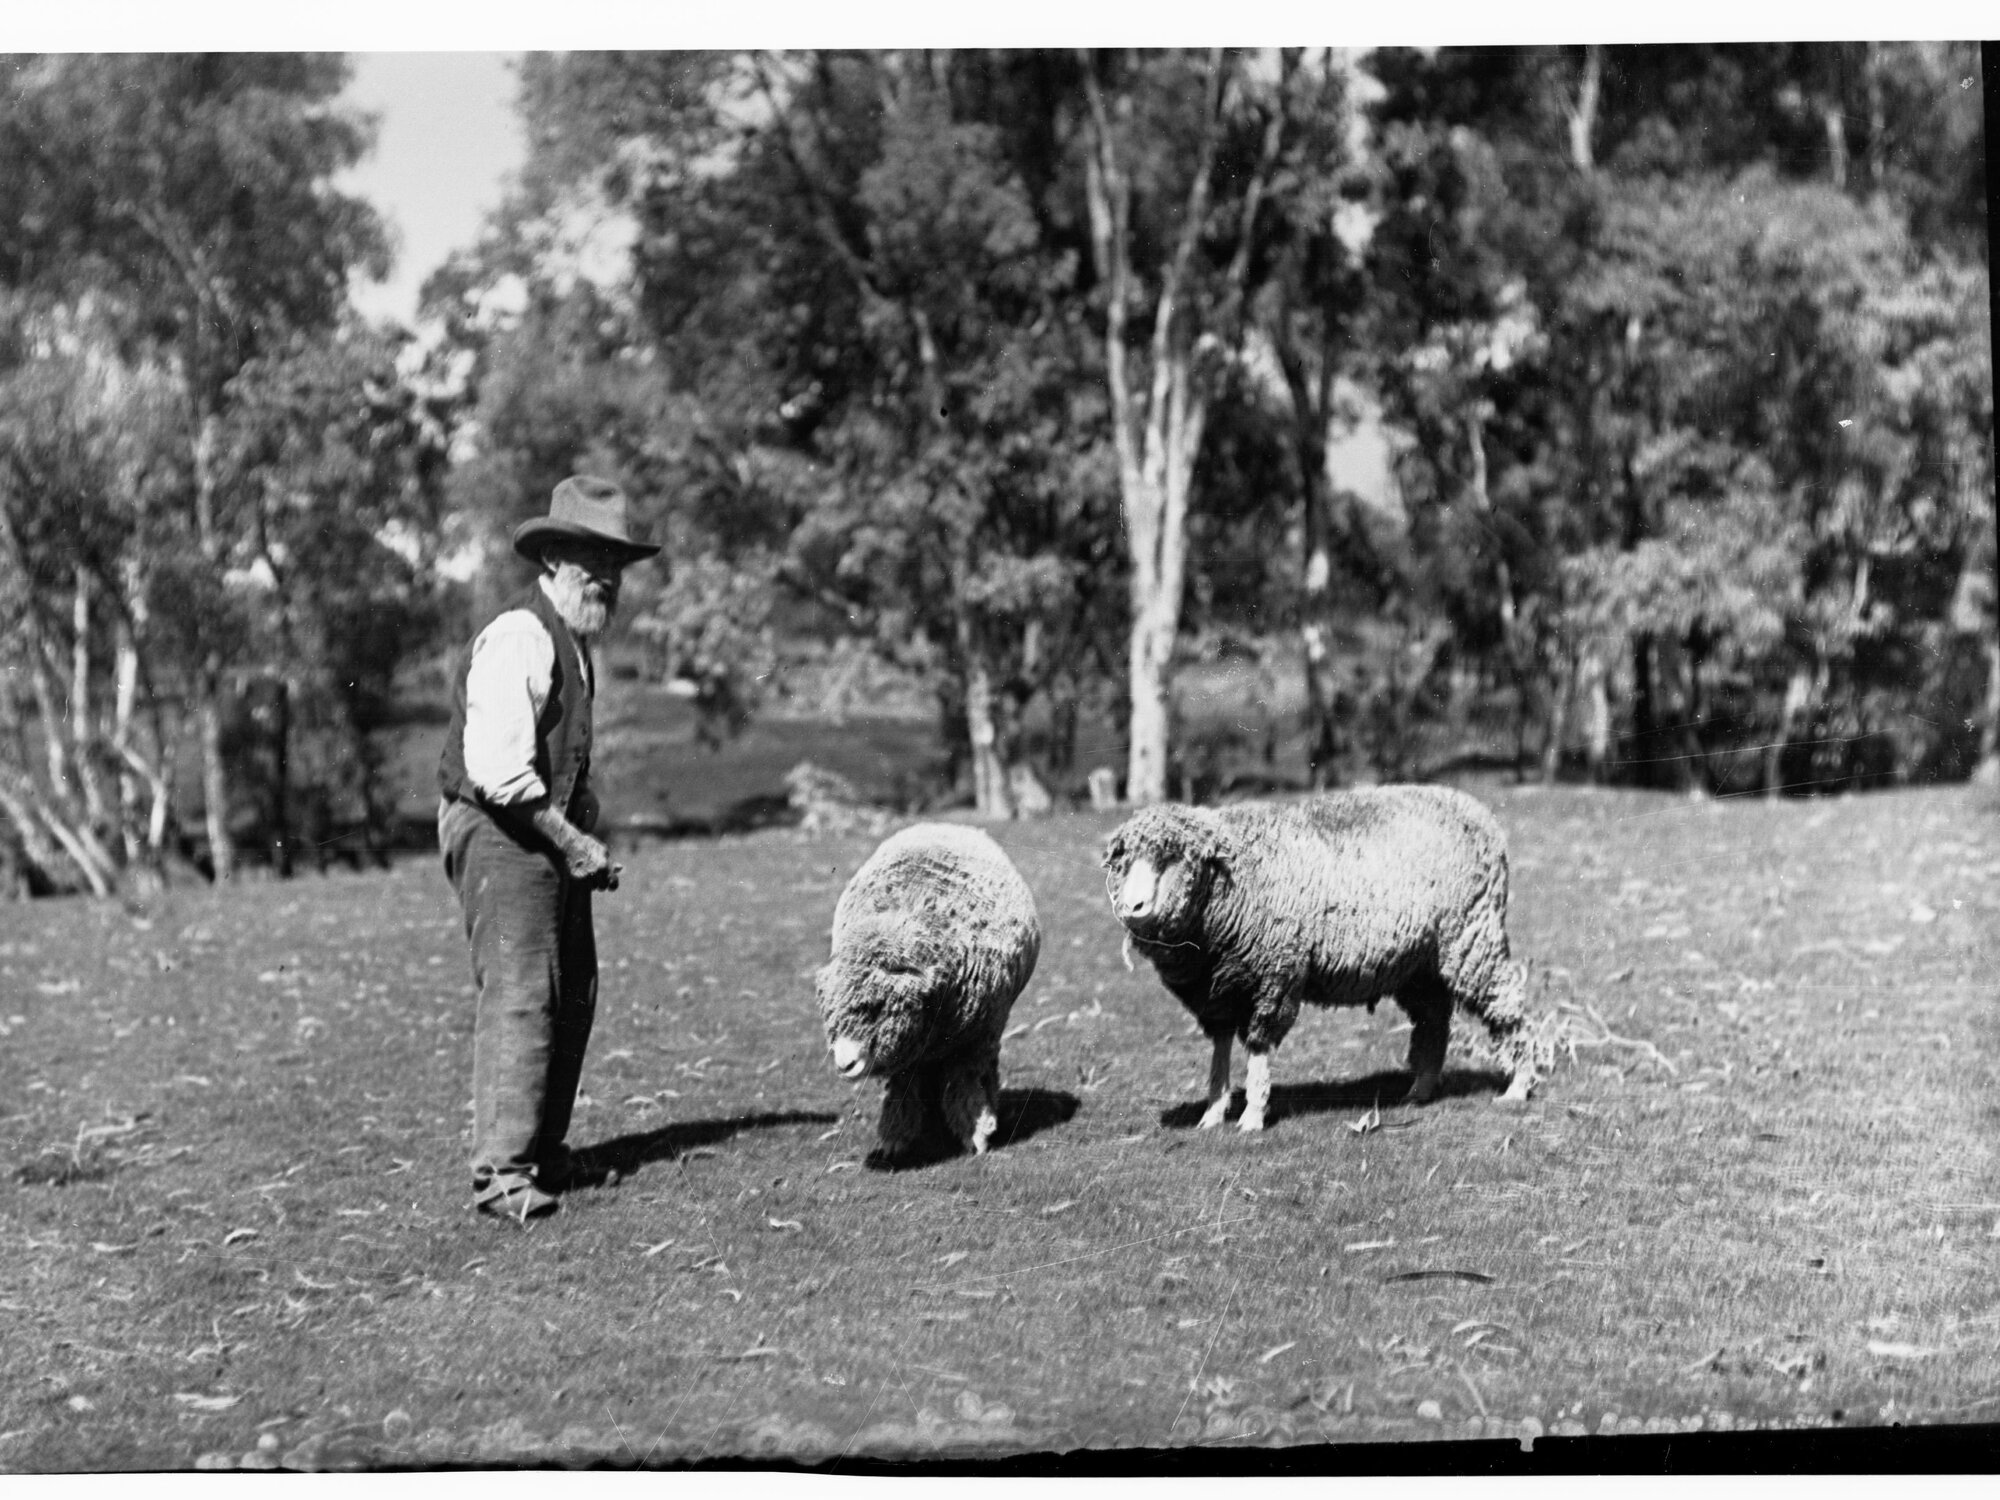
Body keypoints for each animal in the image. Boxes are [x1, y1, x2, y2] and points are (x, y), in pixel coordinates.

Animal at [815, 822, 1041, 1158]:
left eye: (876, 1006)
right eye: (829, 1016)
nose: (845, 1065)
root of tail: (949, 825)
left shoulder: (976, 1039)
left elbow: (967, 1083)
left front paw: (976, 1134)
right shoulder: (907, 1049)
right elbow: (902, 1086)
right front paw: (894, 1138)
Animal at [1103, 785, 1542, 1133]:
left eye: (1173, 858)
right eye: (1124, 862)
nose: (1133, 907)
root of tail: (1475, 808)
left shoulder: (1274, 975)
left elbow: (1258, 1047)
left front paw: (1252, 1116)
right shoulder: (1215, 992)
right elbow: (1220, 1051)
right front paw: (1212, 1113)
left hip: (1472, 937)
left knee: (1506, 1005)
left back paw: (1518, 1086)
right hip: (1420, 963)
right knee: (1433, 1019)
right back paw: (1420, 1090)